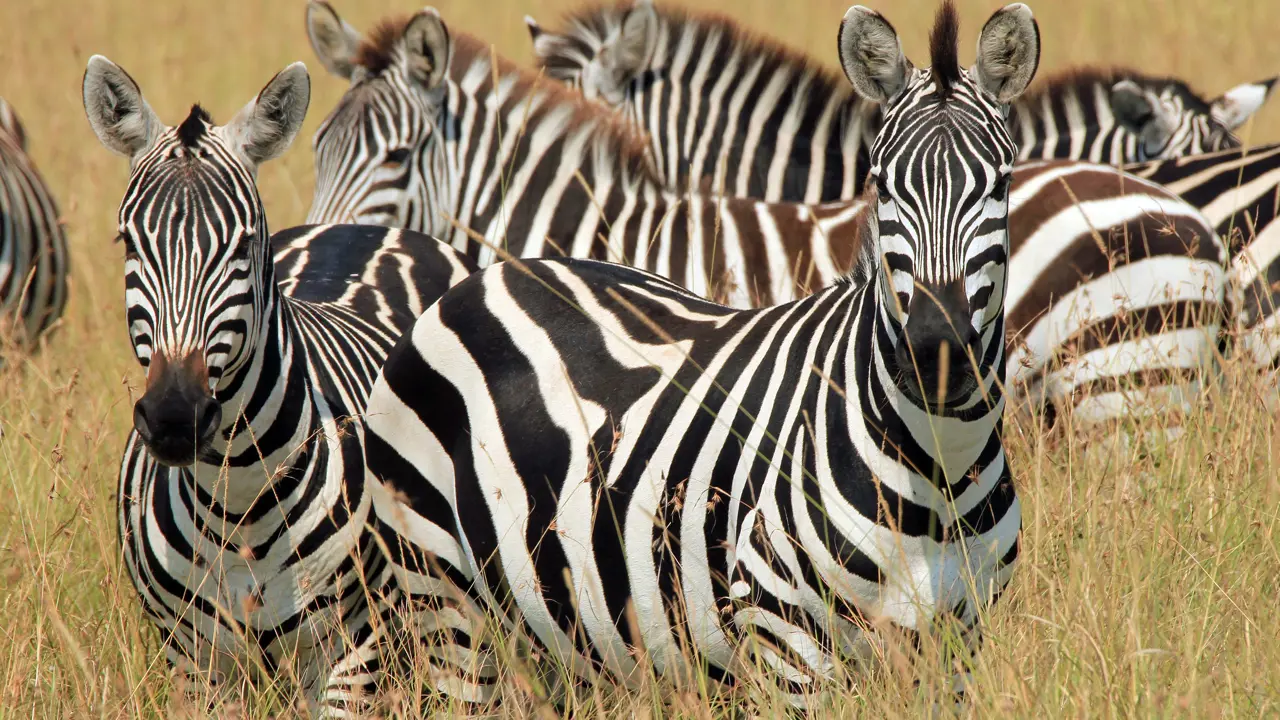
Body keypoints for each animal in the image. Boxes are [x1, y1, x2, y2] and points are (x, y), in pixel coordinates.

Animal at [82, 54, 478, 712]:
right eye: (128, 243)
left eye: (243, 244)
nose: (174, 417)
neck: (236, 502)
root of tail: (361, 228)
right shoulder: (196, 665)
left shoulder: (354, 655)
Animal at [360, 0, 1039, 702]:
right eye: (880, 185)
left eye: (1000, 186)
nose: (936, 353)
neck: (936, 470)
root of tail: (483, 277)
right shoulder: (786, 644)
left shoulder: (956, 651)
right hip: (443, 599)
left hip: (559, 635)